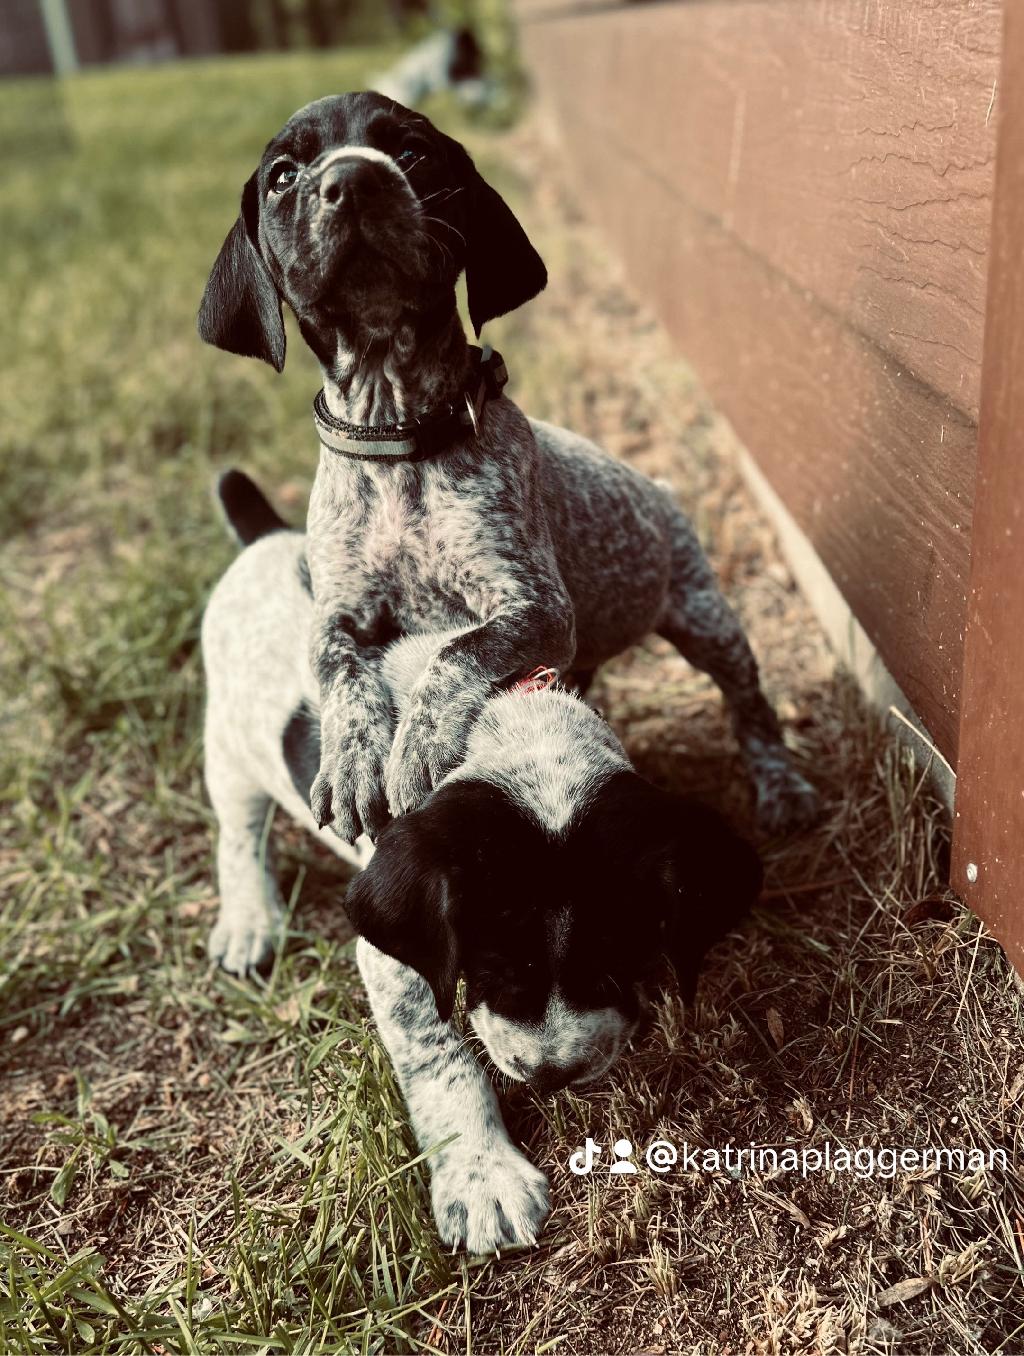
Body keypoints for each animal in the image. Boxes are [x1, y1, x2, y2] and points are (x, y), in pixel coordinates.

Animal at [198, 92, 819, 846]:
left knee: (750, 705)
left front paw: (416, 748)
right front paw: (350, 759)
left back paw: (781, 785)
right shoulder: (336, 613)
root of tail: (659, 488)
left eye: (411, 152)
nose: (352, 180)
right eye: (284, 175)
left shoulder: (534, 606)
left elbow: (455, 654)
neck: (396, 431)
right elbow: (341, 674)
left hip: (708, 619)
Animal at [202, 474, 759, 1247]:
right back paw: (249, 918)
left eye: (618, 948)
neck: (502, 723)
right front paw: (481, 1175)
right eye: (491, 963)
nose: (553, 1074)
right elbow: (440, 1059)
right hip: (227, 744)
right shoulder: (397, 961)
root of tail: (267, 536)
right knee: (238, 831)